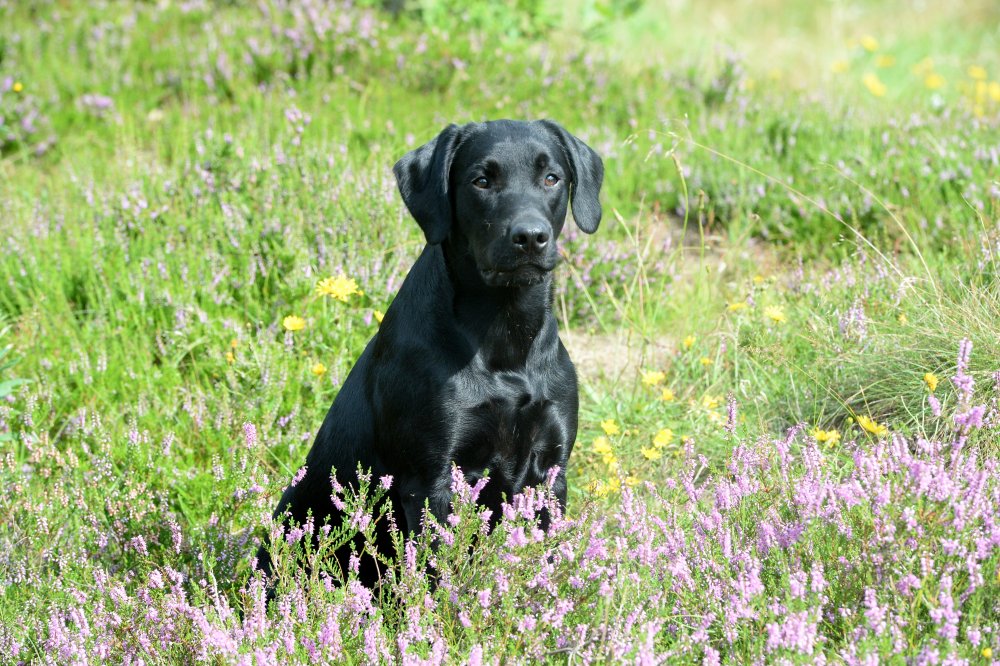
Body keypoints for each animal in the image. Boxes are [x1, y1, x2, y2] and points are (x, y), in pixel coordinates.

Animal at [256, 119, 603, 588]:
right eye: (481, 180)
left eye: (552, 178)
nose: (530, 237)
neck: (505, 336)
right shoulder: (432, 479)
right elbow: (439, 573)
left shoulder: (551, 469)